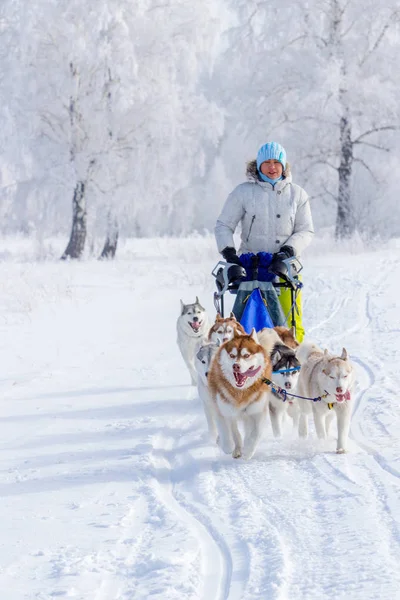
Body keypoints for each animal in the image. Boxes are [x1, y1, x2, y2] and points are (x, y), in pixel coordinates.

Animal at [208, 328, 274, 460]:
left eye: (246, 355)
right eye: (232, 355)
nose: (236, 366)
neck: (241, 392)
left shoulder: (257, 412)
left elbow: (255, 434)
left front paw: (248, 450)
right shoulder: (223, 411)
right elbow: (226, 433)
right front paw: (228, 446)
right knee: (234, 431)